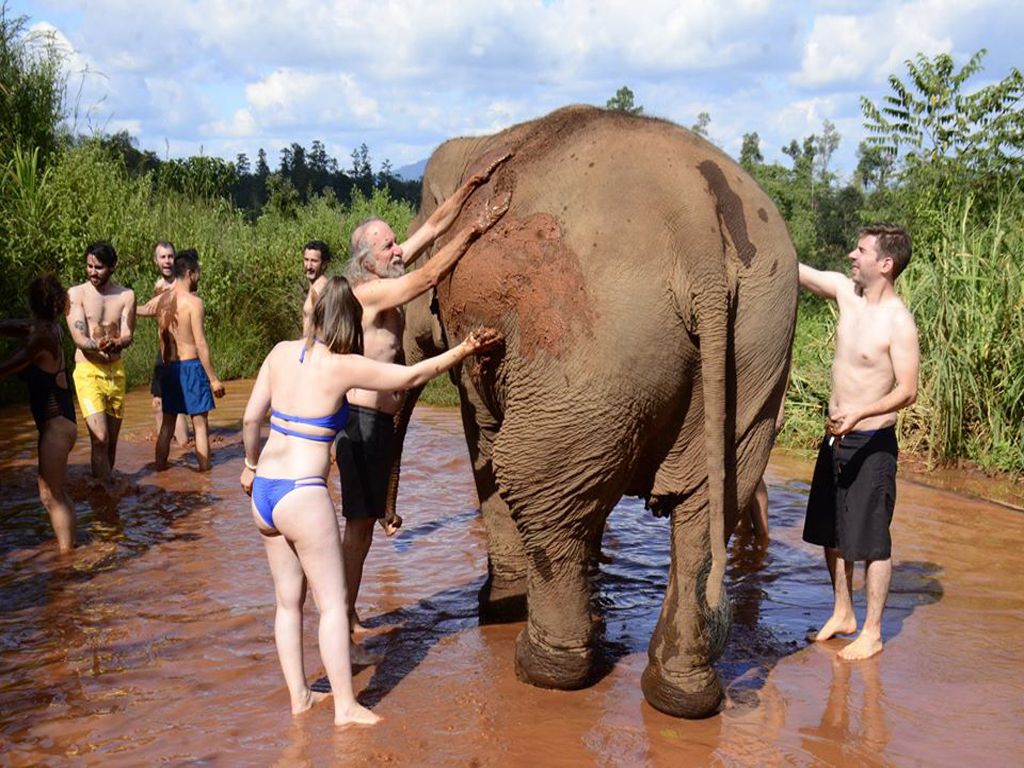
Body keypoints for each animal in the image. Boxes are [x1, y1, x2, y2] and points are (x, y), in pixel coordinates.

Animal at [384, 105, 796, 719]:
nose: (394, 524)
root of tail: (697, 217)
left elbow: (484, 441)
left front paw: (499, 606)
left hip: (588, 342)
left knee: (527, 472)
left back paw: (542, 665)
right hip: (755, 342)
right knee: (708, 505)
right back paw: (680, 696)